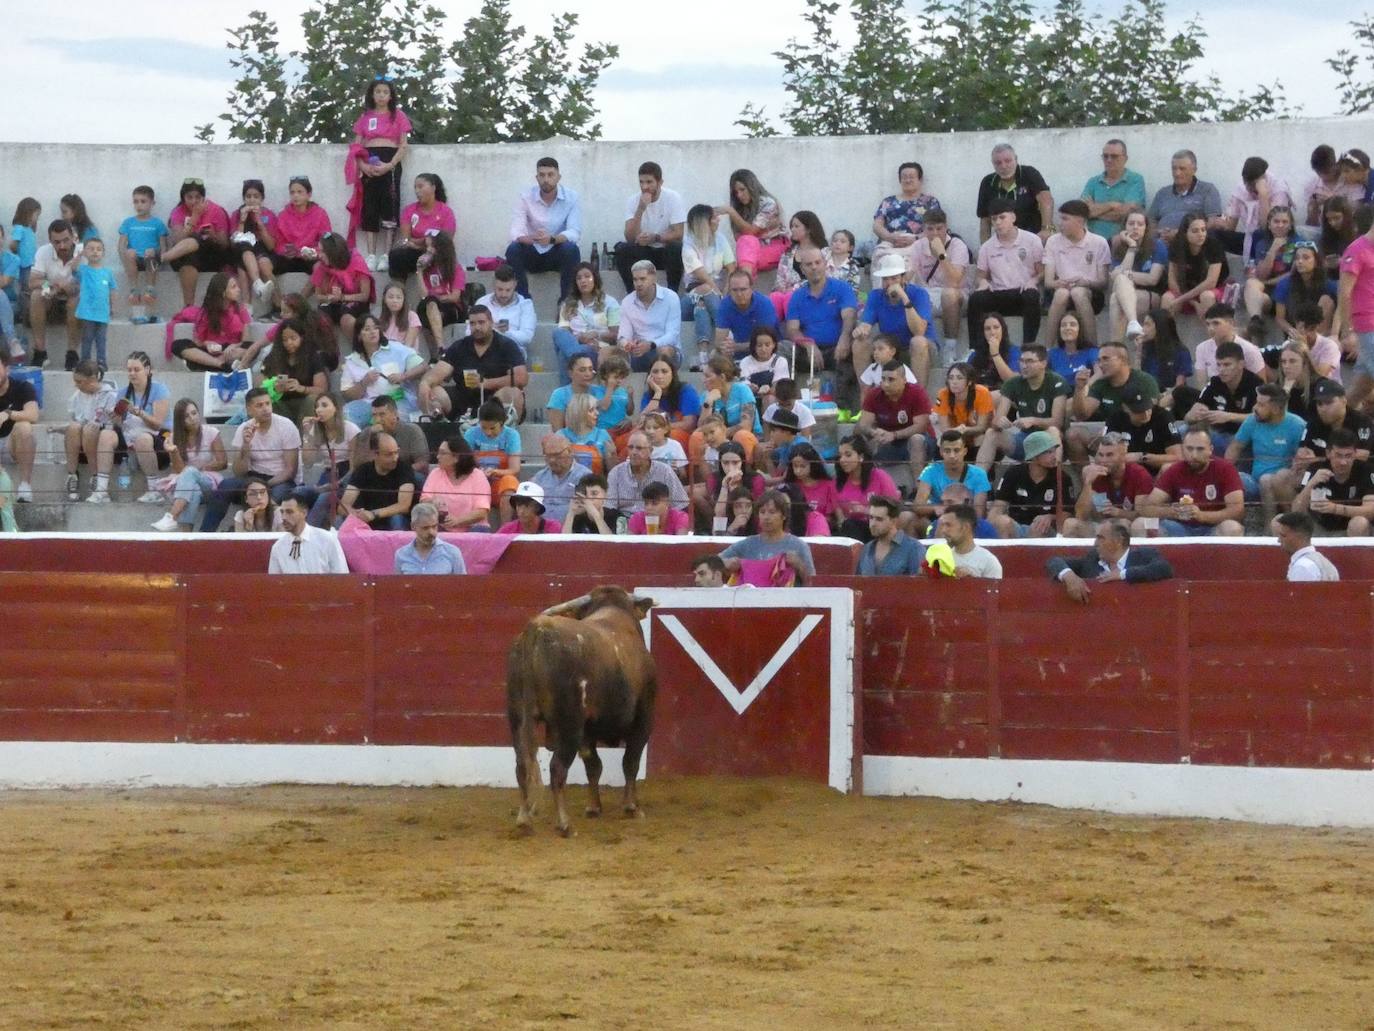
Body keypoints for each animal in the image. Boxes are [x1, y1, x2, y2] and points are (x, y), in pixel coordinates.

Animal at [508, 585, 656, 835]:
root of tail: (537, 630)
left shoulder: (588, 731)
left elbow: (593, 765)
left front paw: (594, 807)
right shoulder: (643, 720)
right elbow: (630, 762)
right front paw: (631, 807)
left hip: (517, 720)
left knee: (522, 765)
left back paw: (523, 819)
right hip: (569, 726)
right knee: (557, 768)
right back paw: (565, 824)